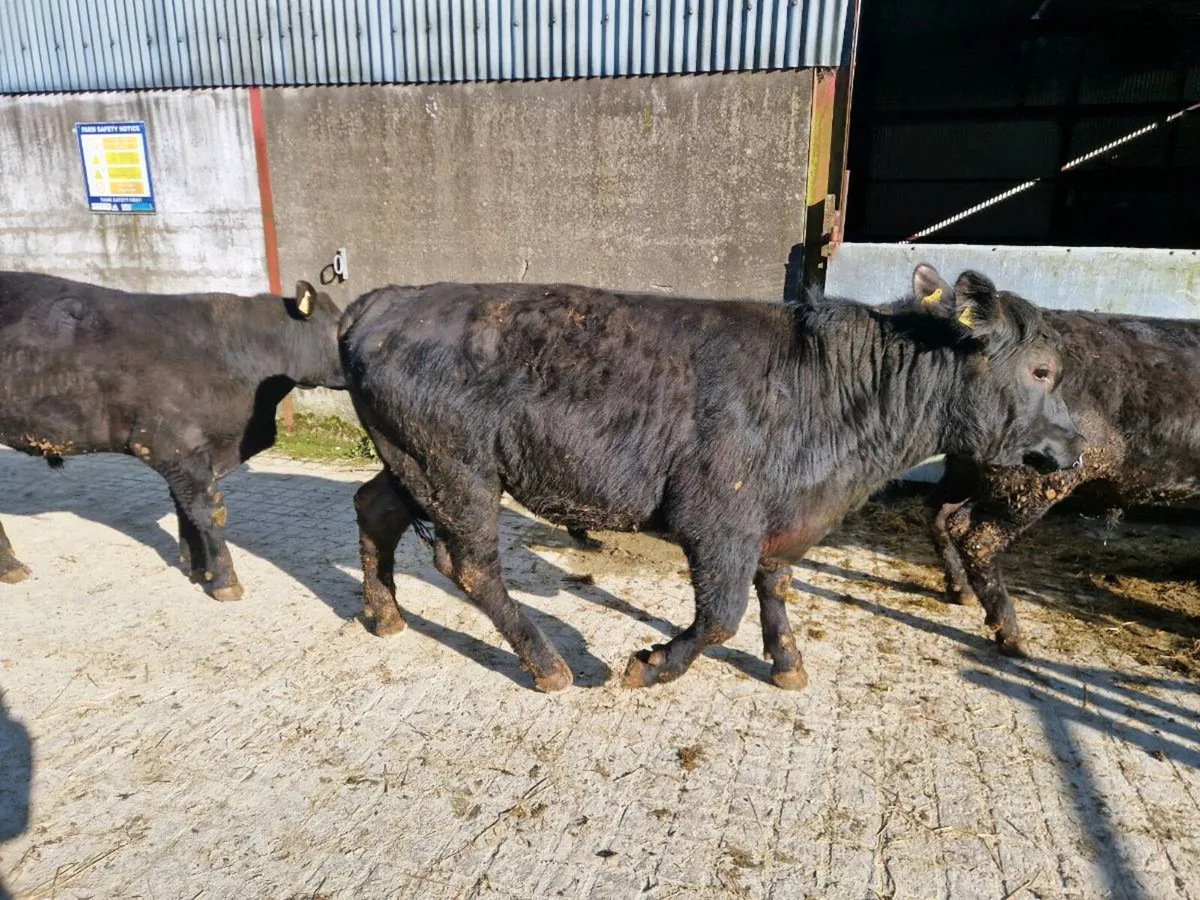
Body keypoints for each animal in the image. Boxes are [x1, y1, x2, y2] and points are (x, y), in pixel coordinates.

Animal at [0, 271, 346, 600]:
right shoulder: (170, 446)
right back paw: (11, 566)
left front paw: (199, 570)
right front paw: (225, 582)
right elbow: (207, 512)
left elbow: (185, 509)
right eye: (341, 330)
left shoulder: (191, 456)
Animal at [339, 264, 1083, 692]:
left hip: (411, 462)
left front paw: (788, 663)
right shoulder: (717, 517)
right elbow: (721, 615)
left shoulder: (781, 518)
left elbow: (775, 586)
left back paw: (384, 614)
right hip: (457, 471)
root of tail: (383, 301)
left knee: (375, 508)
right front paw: (651, 666)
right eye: (1042, 370)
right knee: (469, 565)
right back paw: (547, 664)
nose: (1077, 446)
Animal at [927, 308, 1200, 656]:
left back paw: (961, 594)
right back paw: (1015, 640)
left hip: (966, 467)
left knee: (940, 511)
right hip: (1033, 481)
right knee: (977, 537)